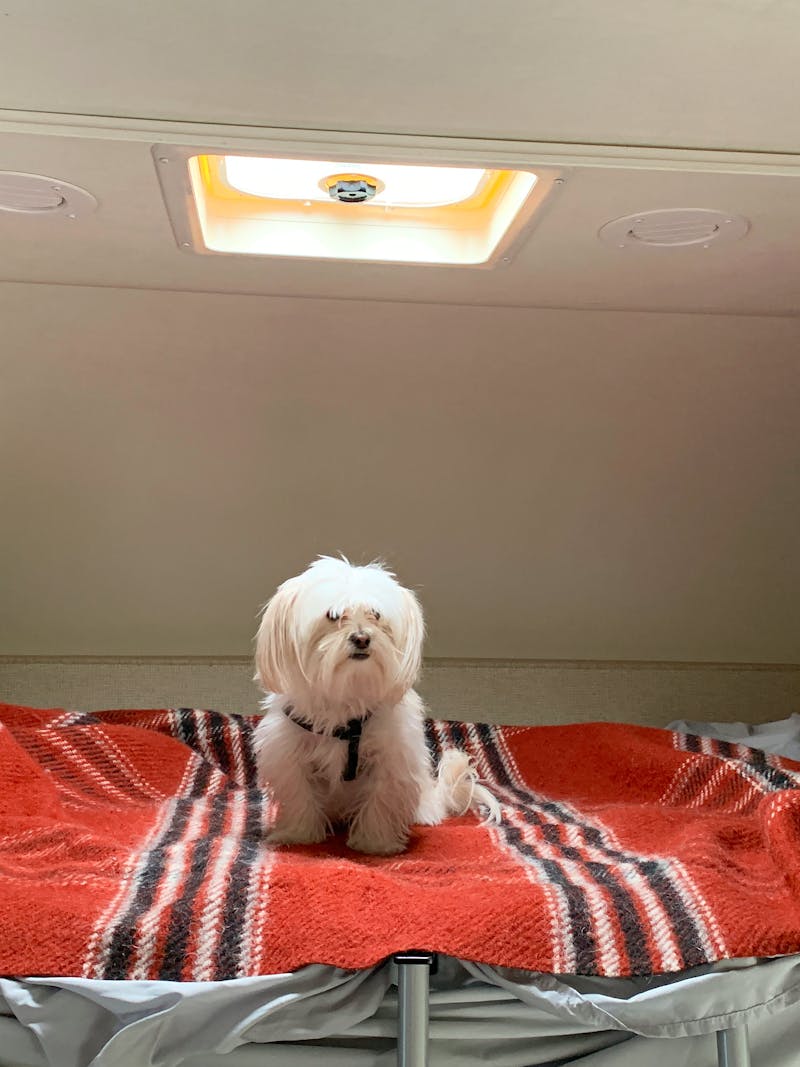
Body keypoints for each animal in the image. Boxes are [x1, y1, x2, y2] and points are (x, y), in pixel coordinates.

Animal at [253, 554, 499, 853]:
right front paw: (298, 834)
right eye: (333, 615)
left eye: (377, 614)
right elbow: (300, 796)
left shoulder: (392, 760)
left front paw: (375, 843)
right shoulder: (289, 756)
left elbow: (381, 801)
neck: (348, 692)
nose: (362, 638)